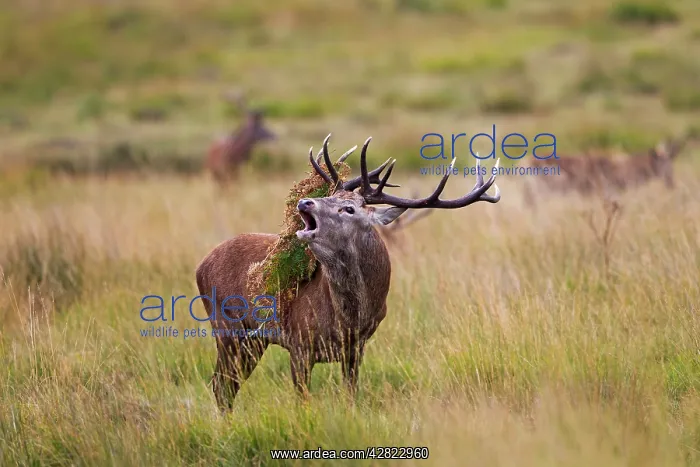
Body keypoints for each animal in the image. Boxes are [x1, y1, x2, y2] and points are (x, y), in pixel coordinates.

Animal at [195, 134, 501, 409]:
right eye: (330, 195)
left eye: (349, 208)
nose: (305, 201)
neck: (348, 319)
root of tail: (201, 266)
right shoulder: (299, 343)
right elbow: (302, 402)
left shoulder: (356, 348)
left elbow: (351, 396)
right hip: (228, 328)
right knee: (220, 385)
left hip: (253, 340)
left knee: (226, 385)